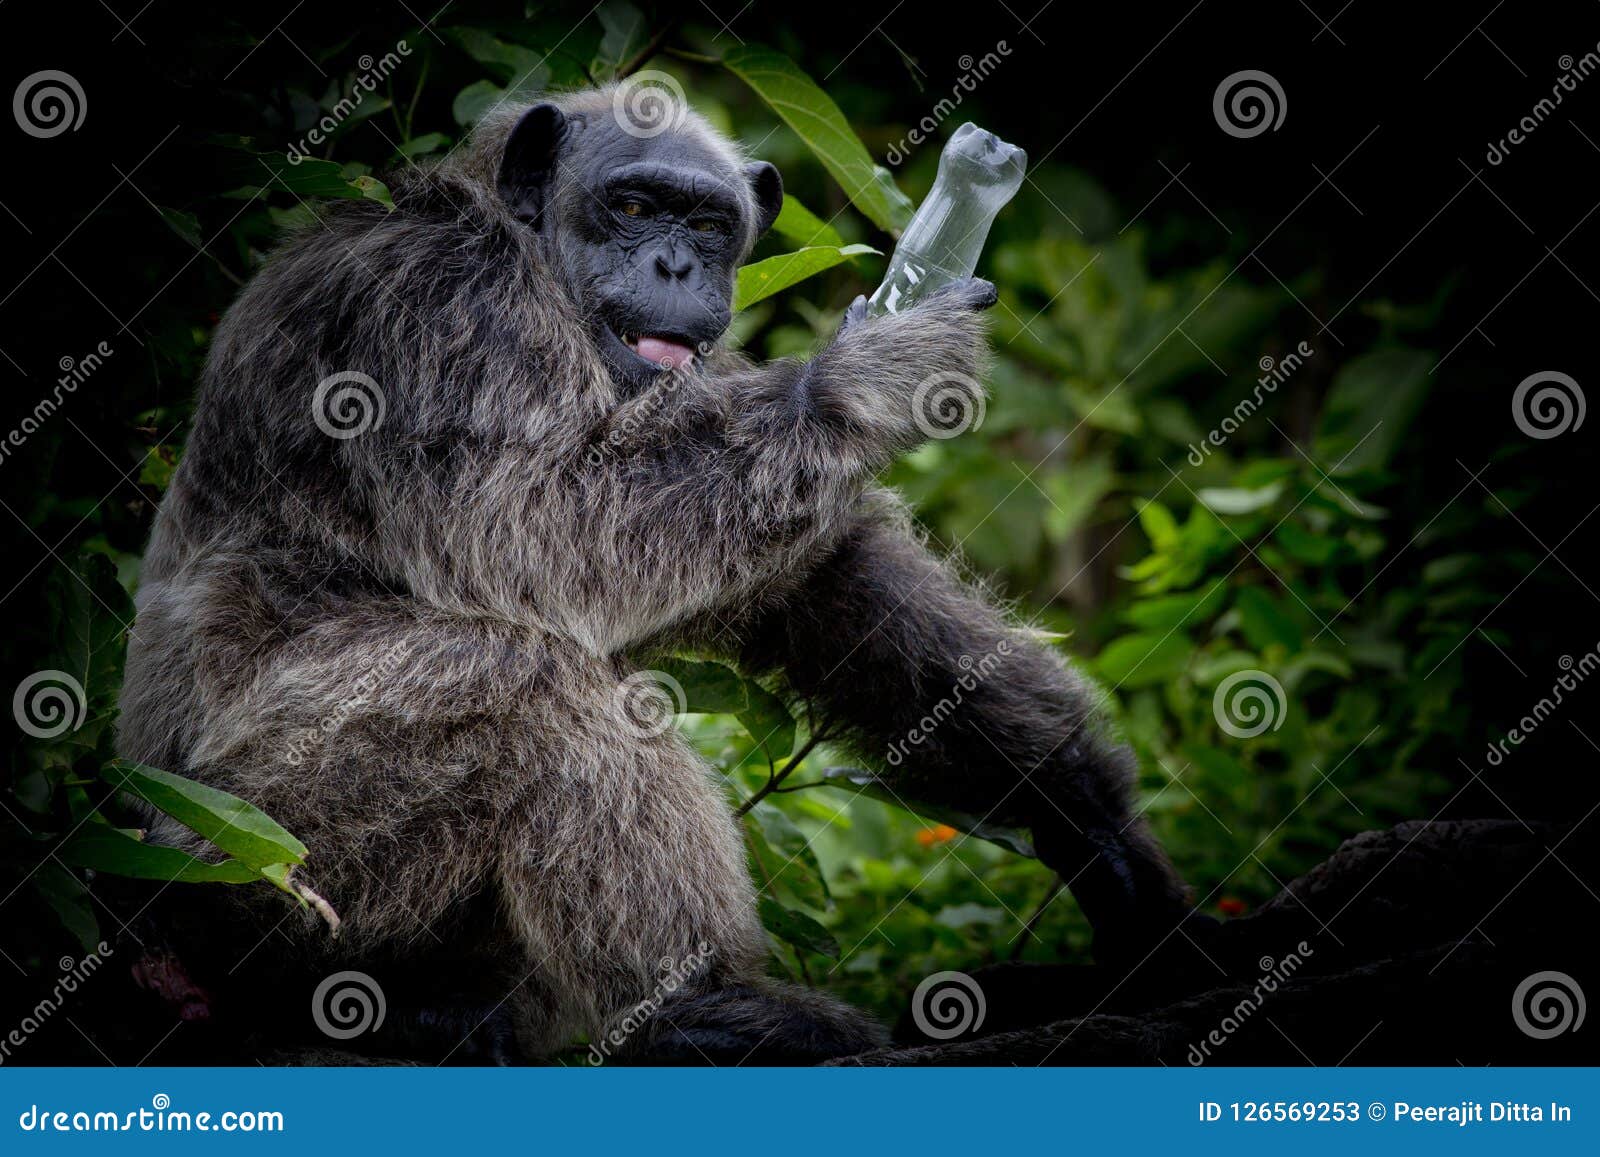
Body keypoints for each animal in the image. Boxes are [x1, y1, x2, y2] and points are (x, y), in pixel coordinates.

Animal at [115, 84, 1194, 1065]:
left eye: (710, 224)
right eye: (634, 205)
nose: (676, 259)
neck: (525, 259)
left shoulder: (703, 398)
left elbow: (822, 580)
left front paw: (1093, 829)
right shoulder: (432, 313)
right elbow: (546, 527)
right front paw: (867, 375)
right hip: (254, 858)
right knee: (517, 680)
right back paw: (705, 1009)